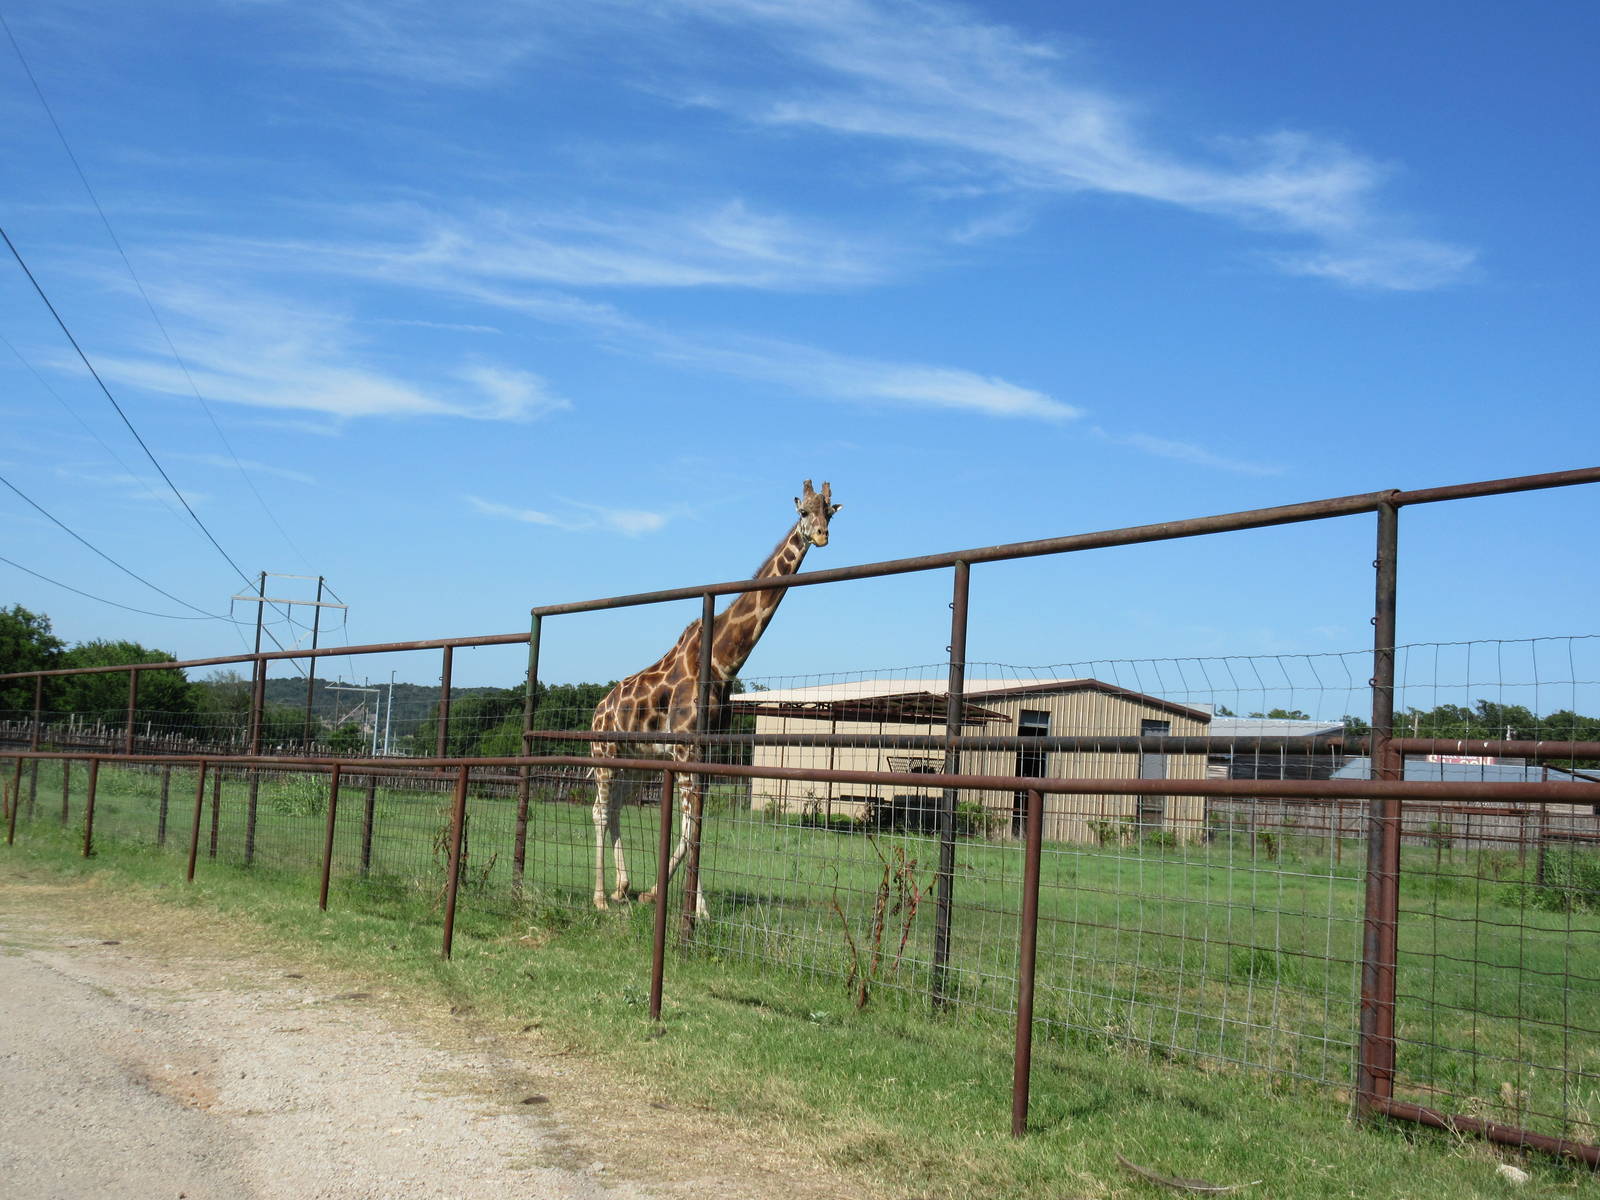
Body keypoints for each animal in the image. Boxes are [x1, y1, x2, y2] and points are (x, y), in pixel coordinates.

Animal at [589, 479, 841, 913]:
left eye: (830, 511)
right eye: (803, 512)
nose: (822, 536)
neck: (724, 663)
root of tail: (596, 712)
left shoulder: (704, 749)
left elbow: (695, 827)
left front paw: (659, 894)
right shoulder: (686, 748)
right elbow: (692, 825)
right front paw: (698, 907)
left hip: (633, 760)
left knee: (616, 808)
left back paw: (623, 888)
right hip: (604, 753)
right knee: (600, 811)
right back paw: (601, 897)